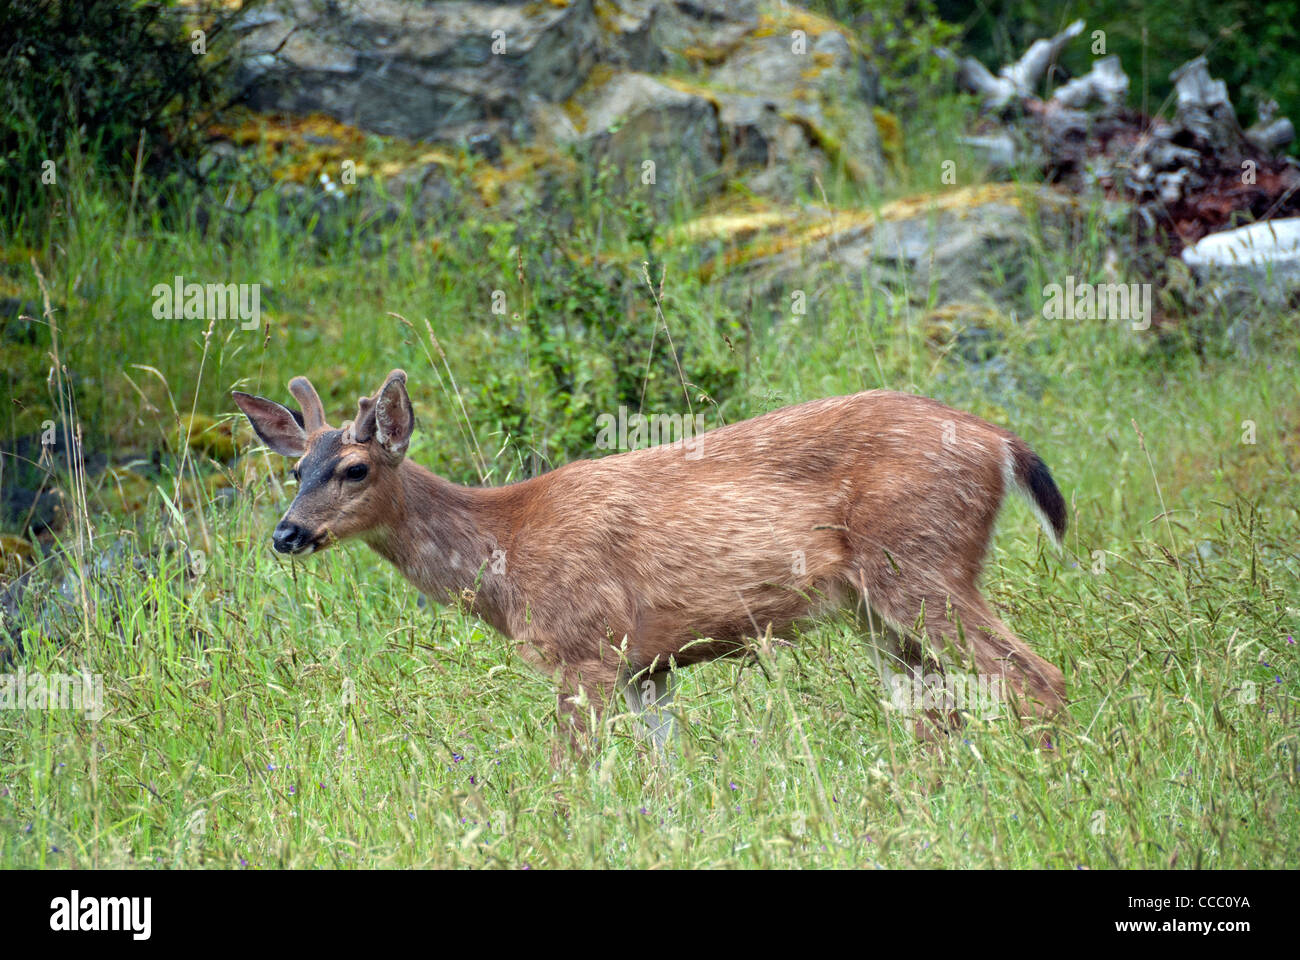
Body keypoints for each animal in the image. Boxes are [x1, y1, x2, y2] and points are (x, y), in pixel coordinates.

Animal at [233, 369, 1066, 749]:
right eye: (295, 469)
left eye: (355, 469)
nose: (287, 534)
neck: (505, 544)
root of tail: (1000, 441)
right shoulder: (647, 667)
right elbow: (663, 770)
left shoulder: (586, 648)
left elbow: (574, 769)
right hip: (881, 607)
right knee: (941, 708)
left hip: (920, 563)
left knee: (1034, 677)